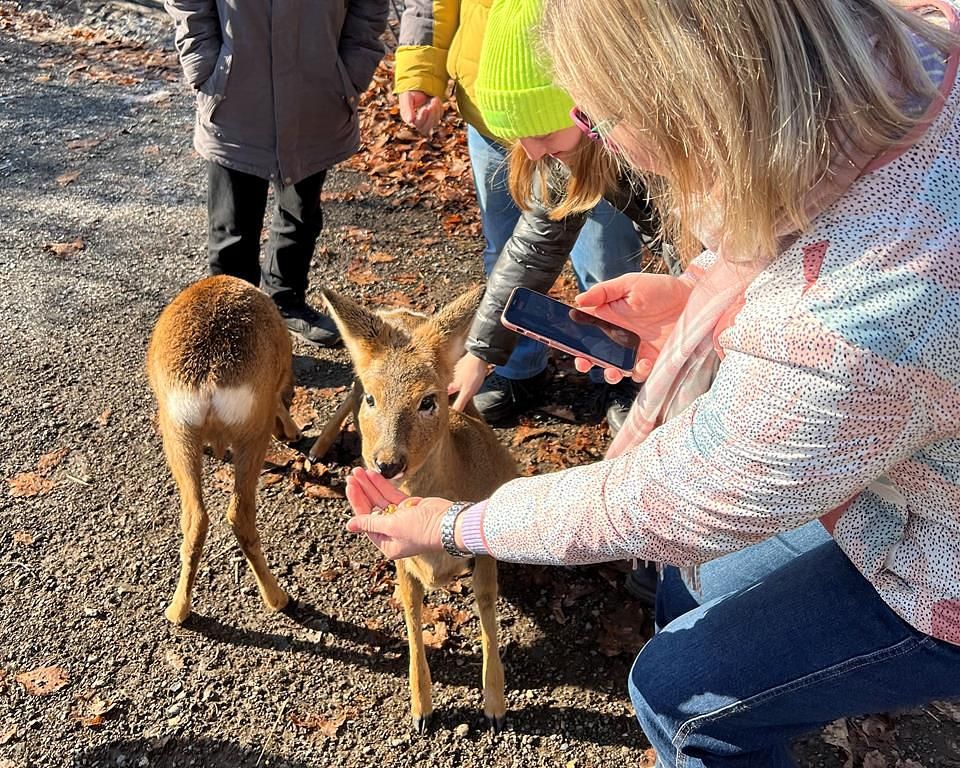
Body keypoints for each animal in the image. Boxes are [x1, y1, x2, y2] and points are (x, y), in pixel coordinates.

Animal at [146, 274, 300, 624]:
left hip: (178, 434)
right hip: (251, 433)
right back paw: (278, 599)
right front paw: (293, 432)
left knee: (196, 518)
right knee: (239, 513)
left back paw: (177, 610)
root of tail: (210, 377)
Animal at [320, 286, 516, 732]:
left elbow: (486, 602)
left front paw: (495, 706)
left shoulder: (484, 545)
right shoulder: (401, 558)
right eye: (373, 398)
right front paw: (421, 709)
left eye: (429, 400)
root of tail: (397, 313)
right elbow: (411, 615)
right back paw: (316, 448)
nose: (386, 463)